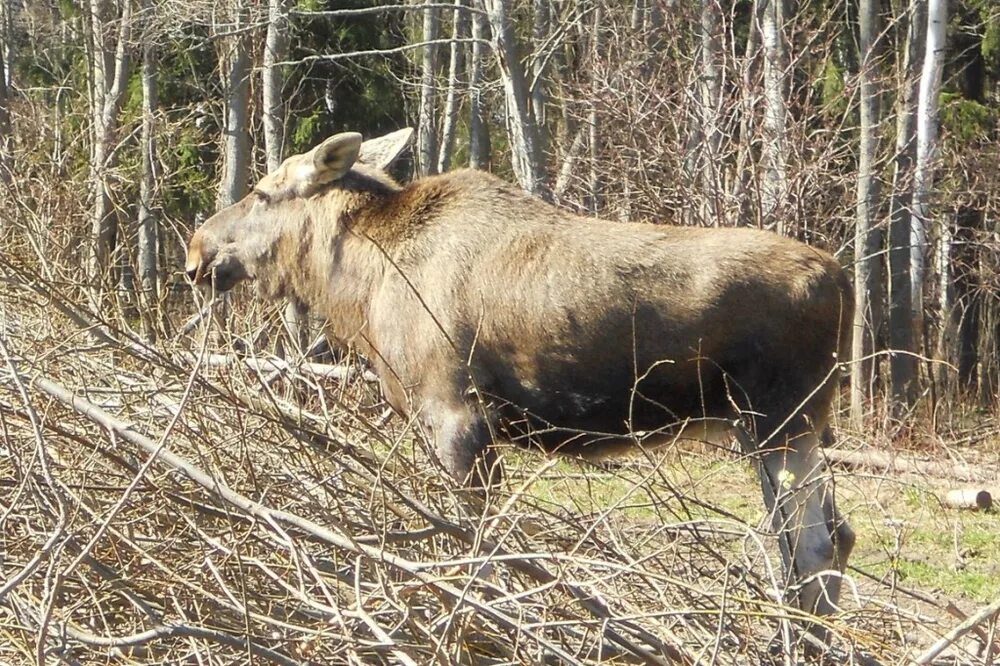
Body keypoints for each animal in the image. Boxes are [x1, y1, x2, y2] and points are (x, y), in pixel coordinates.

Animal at [189, 128, 860, 624]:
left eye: (262, 193)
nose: (196, 248)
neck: (359, 285)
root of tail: (844, 281)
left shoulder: (457, 413)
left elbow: (480, 552)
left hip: (777, 418)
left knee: (813, 547)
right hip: (786, 427)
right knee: (838, 534)